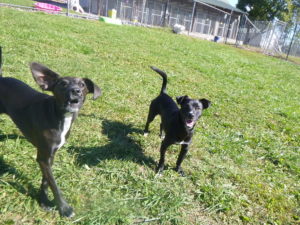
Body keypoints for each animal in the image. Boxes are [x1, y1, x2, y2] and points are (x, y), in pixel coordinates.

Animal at [0, 47, 101, 216]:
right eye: (62, 84)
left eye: (82, 85)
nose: (76, 91)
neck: (60, 116)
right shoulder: (43, 156)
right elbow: (54, 184)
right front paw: (64, 208)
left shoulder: (49, 155)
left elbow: (46, 180)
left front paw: (43, 200)